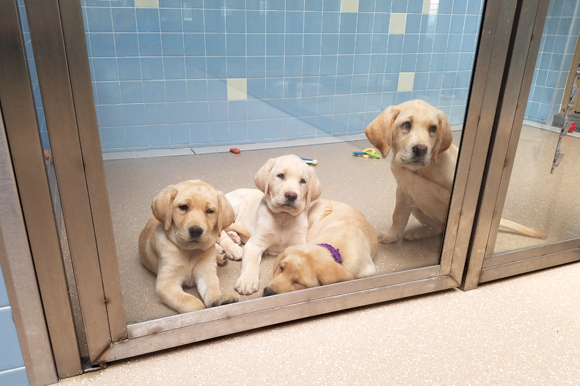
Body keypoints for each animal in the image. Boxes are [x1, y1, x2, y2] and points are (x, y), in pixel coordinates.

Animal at [139, 181, 238, 314]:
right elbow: (193, 303)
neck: (190, 251)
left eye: (209, 211)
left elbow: (212, 288)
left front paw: (219, 299)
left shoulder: (205, 273)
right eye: (183, 207)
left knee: (220, 236)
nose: (196, 230)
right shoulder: (167, 284)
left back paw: (230, 250)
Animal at [221, 154, 324, 296]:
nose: (291, 195)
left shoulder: (299, 242)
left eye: (303, 181)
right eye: (281, 176)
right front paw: (247, 281)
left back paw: (234, 236)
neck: (284, 217)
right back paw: (232, 247)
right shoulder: (255, 244)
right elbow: (251, 262)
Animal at [364, 100, 548, 244]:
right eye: (406, 125)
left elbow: (457, 220)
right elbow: (398, 216)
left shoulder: (454, 196)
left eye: (433, 128)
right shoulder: (404, 192)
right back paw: (419, 233)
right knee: (437, 226)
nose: (421, 149)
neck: (421, 171)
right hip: (417, 205)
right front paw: (391, 235)